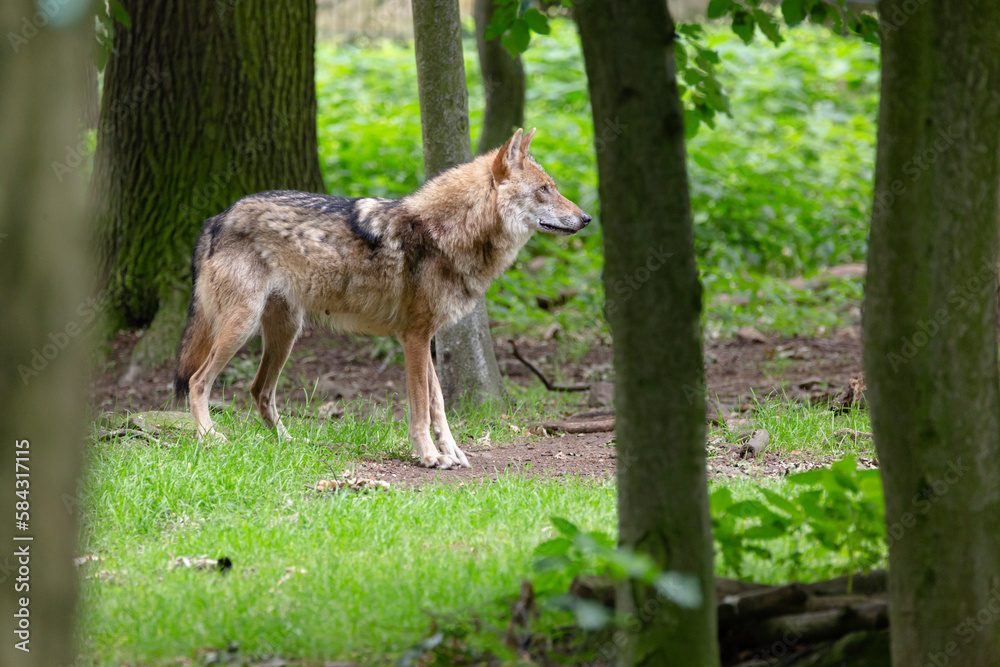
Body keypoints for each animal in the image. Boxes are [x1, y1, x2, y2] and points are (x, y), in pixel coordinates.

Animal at [174, 128, 590, 469]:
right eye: (545, 189)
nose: (587, 218)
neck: (446, 233)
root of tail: (216, 218)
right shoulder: (414, 338)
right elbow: (422, 407)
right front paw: (429, 457)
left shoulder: (426, 338)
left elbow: (439, 404)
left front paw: (452, 453)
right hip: (242, 328)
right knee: (197, 380)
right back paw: (210, 437)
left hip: (286, 334)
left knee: (259, 390)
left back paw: (289, 442)